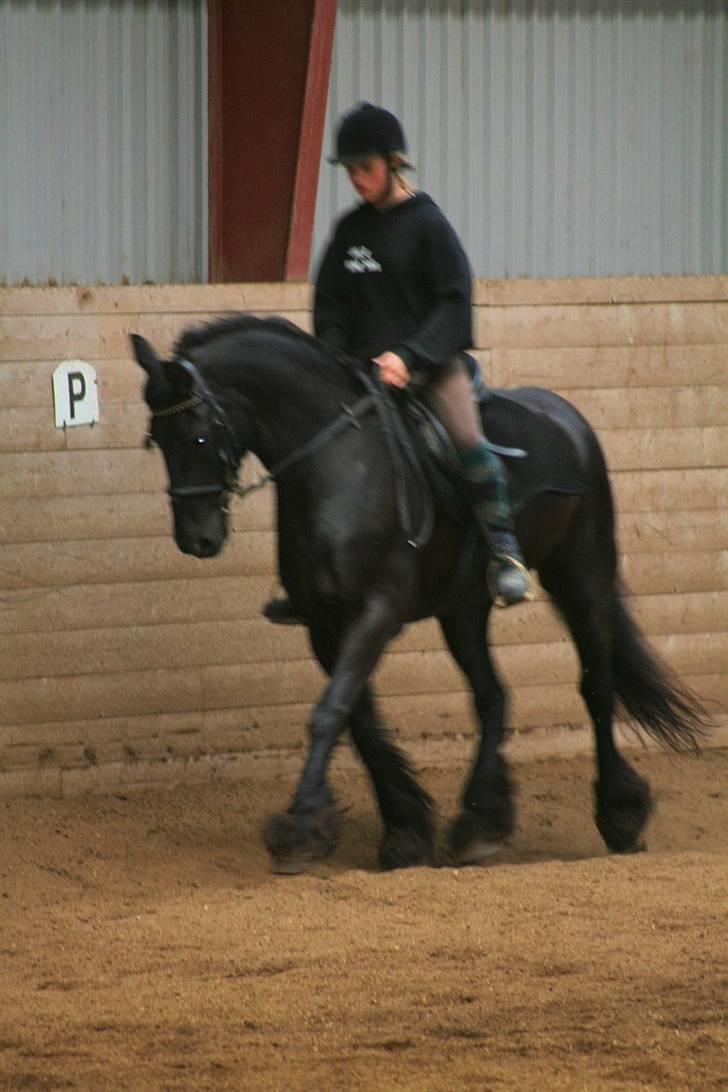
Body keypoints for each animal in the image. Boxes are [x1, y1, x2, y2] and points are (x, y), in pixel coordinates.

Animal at [130, 314, 707, 869]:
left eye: (198, 436)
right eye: (157, 440)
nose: (197, 539)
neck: (338, 464)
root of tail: (568, 417)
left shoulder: (376, 612)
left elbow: (330, 712)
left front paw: (300, 832)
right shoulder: (324, 624)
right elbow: (357, 722)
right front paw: (403, 830)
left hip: (580, 574)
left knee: (596, 686)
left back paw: (619, 814)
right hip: (463, 609)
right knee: (492, 695)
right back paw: (481, 823)